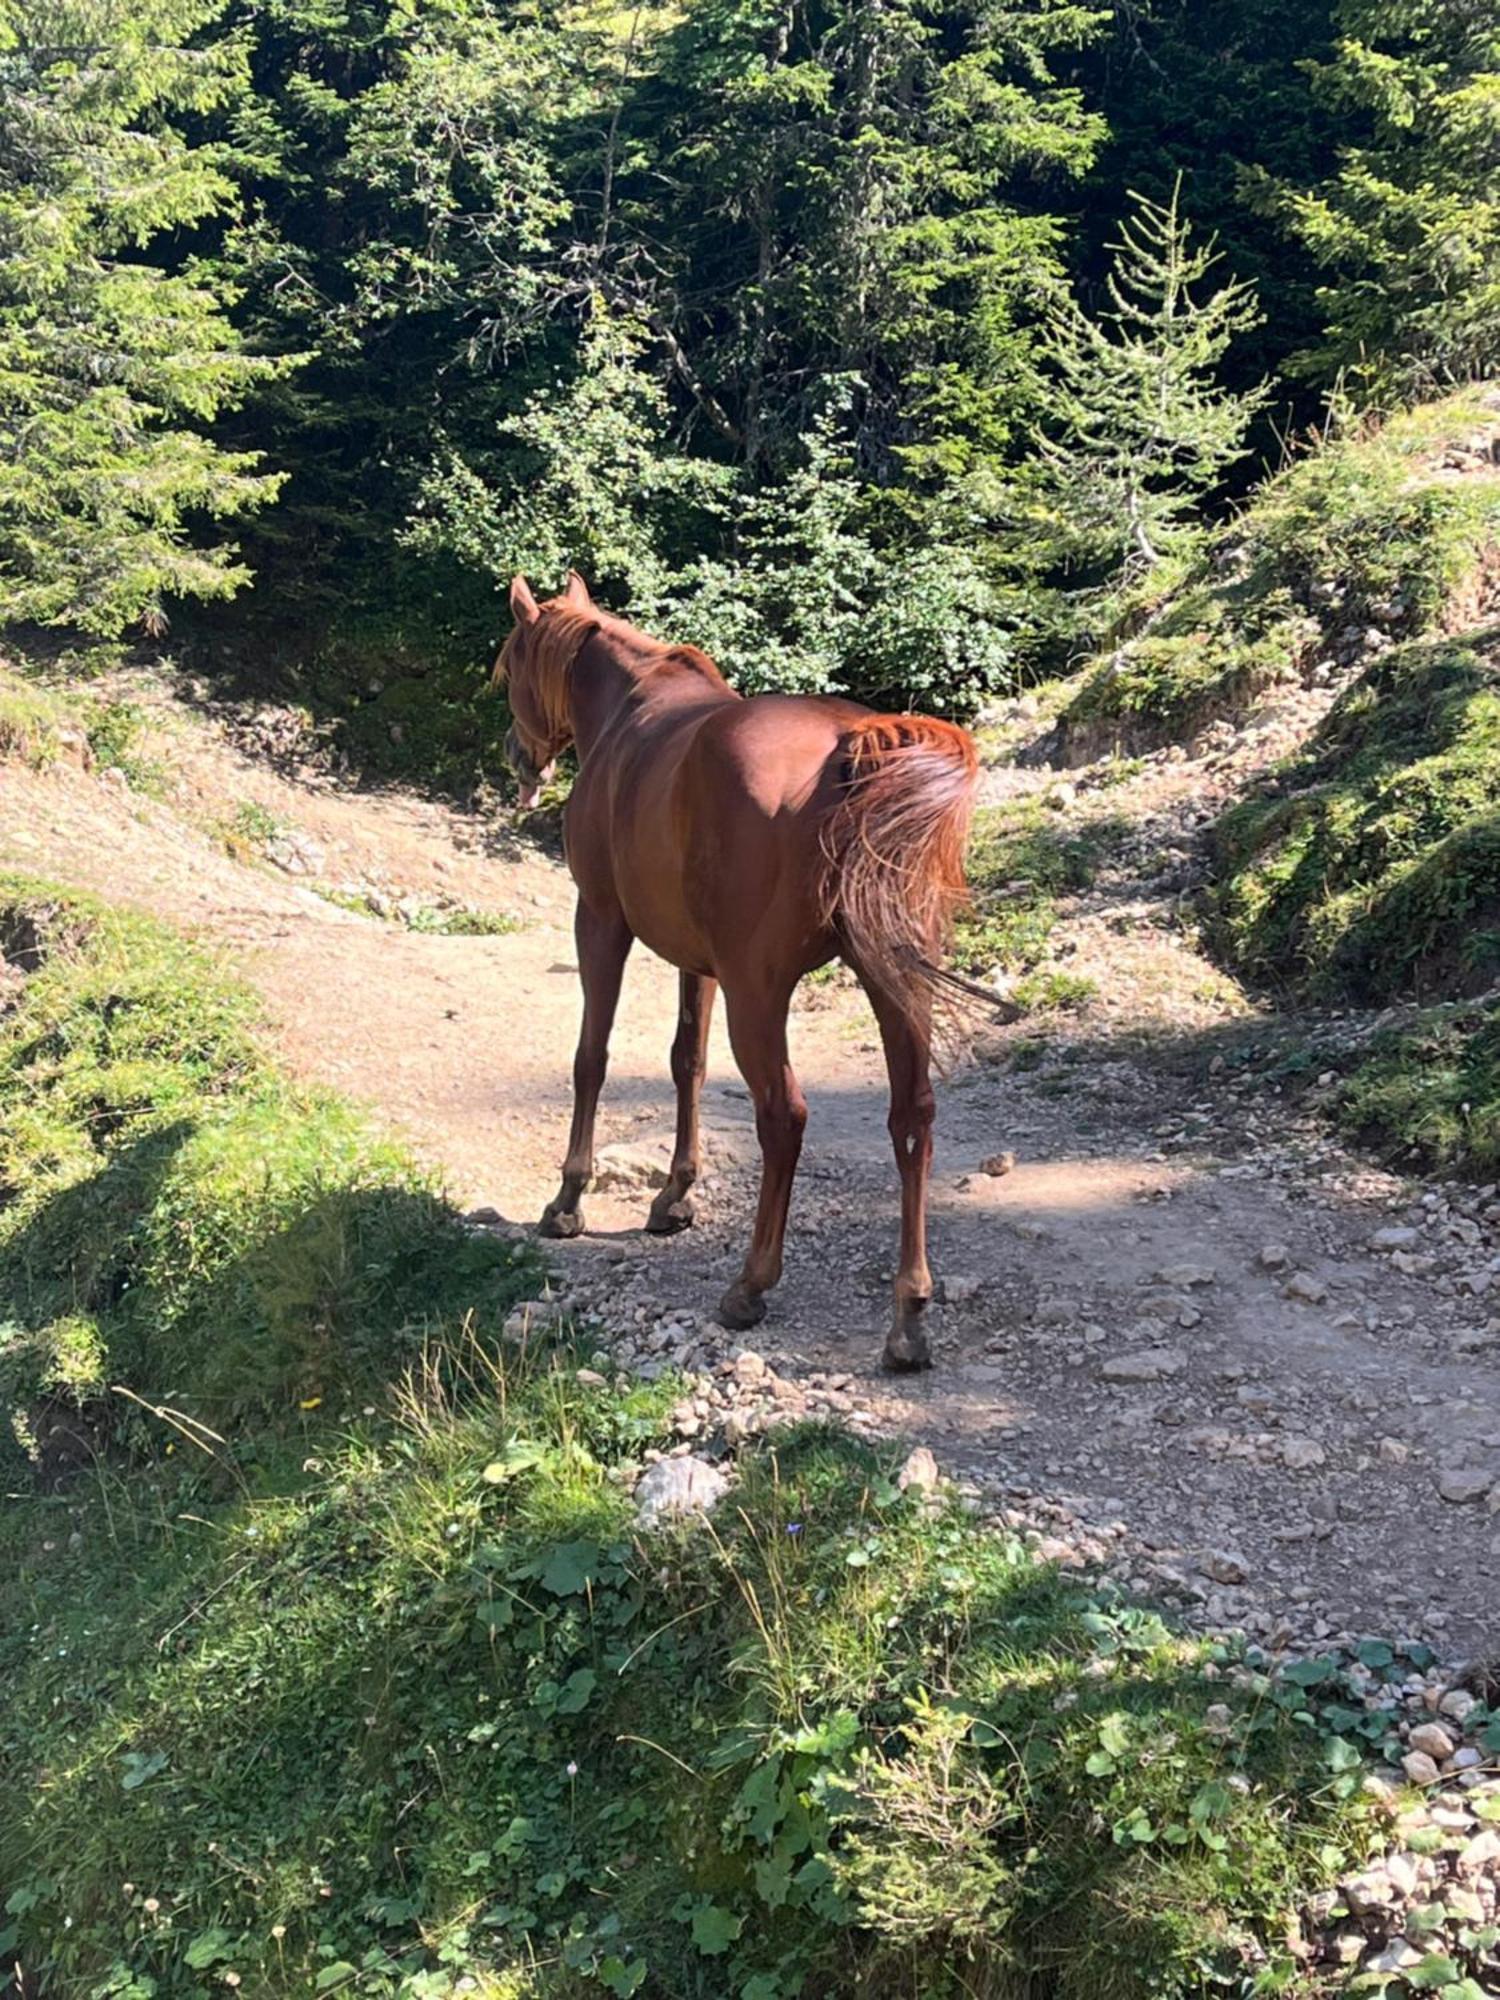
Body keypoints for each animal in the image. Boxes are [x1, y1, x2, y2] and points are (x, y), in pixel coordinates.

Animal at [500, 572, 980, 1368]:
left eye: (506, 669)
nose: (518, 757)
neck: (629, 715)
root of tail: (851, 749)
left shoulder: (599, 921)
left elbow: (591, 1058)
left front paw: (568, 1200)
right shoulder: (699, 961)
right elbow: (685, 1063)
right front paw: (675, 1197)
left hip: (760, 996)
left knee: (784, 1117)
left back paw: (751, 1284)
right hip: (894, 986)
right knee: (912, 1117)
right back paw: (908, 1315)